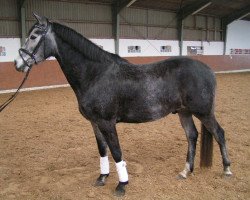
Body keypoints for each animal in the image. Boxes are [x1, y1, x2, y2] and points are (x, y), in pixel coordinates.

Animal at [14, 14, 232, 197]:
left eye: (33, 36)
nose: (18, 63)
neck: (96, 74)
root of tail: (208, 70)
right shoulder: (95, 123)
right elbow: (102, 150)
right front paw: (102, 177)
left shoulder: (107, 122)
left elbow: (116, 151)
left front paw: (122, 185)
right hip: (184, 112)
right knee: (192, 136)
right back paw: (186, 171)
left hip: (203, 112)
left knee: (219, 133)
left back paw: (227, 170)